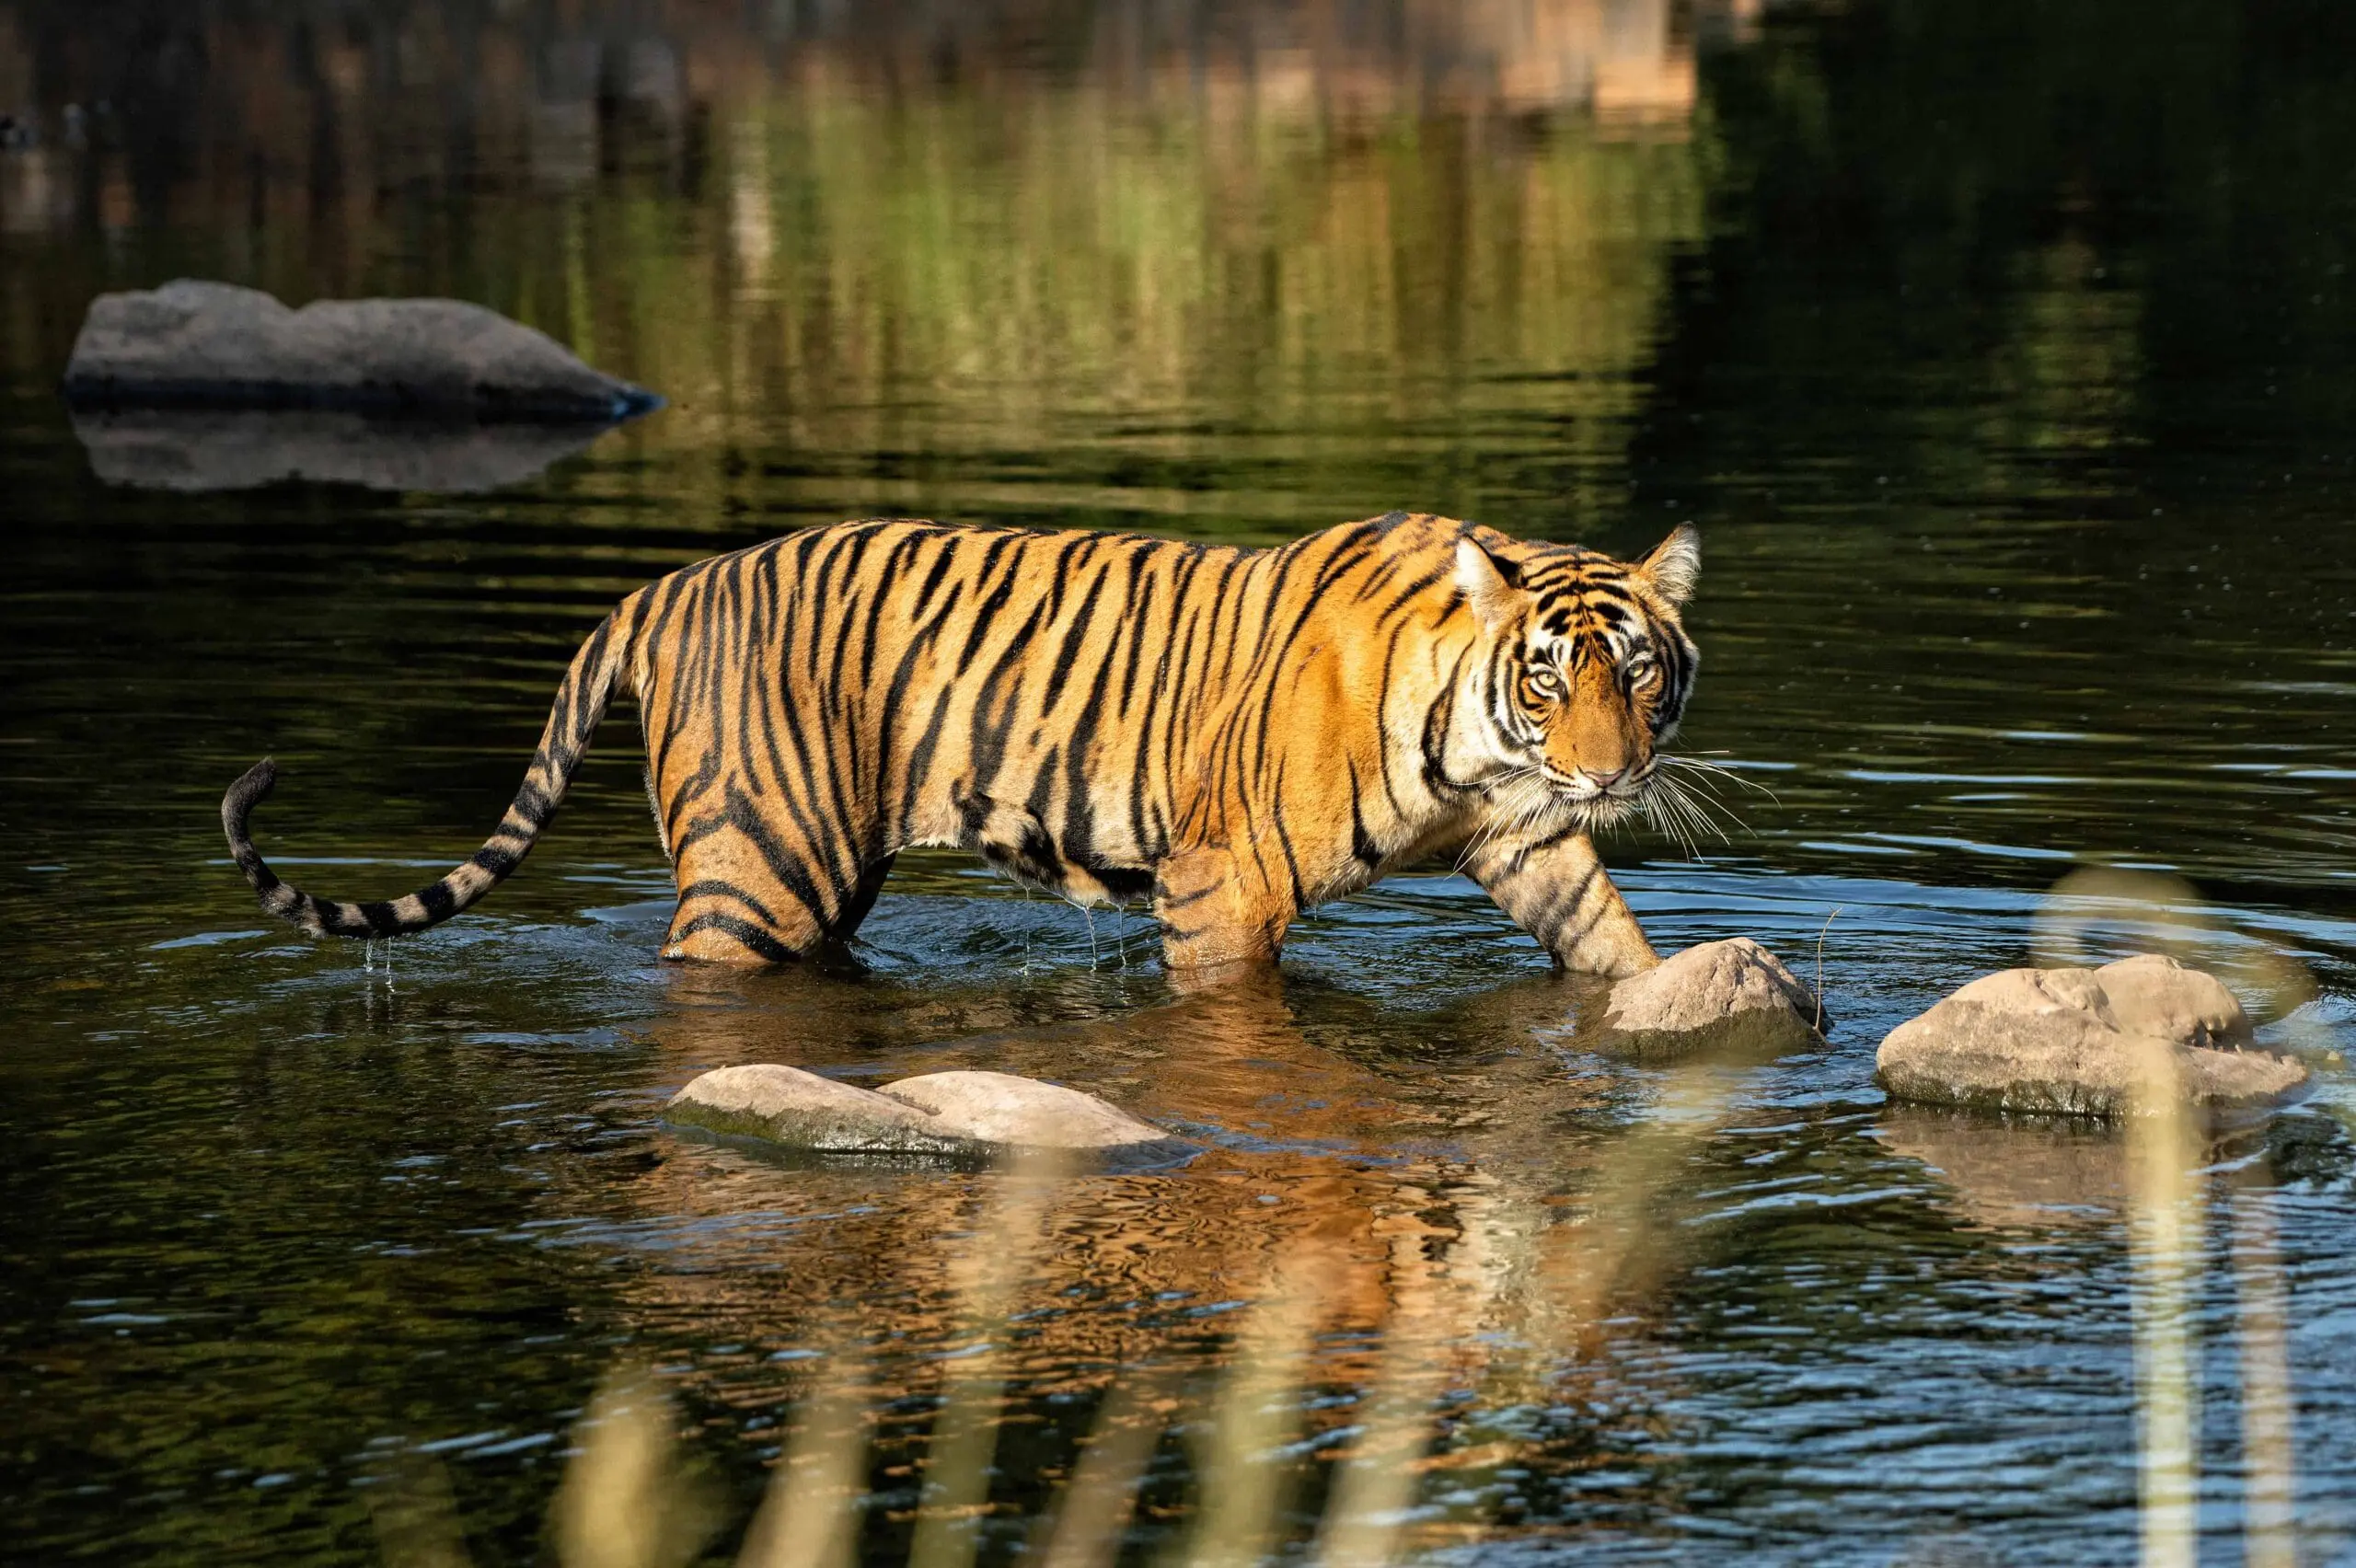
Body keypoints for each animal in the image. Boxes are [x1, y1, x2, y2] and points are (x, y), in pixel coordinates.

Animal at [222, 511, 1701, 980]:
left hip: (824, 878)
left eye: (1635, 671)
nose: (1609, 773)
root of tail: (670, 586)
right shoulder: (1223, 886)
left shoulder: (1523, 840)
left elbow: (1605, 937)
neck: (1479, 741)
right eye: (1548, 677)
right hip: (759, 874)